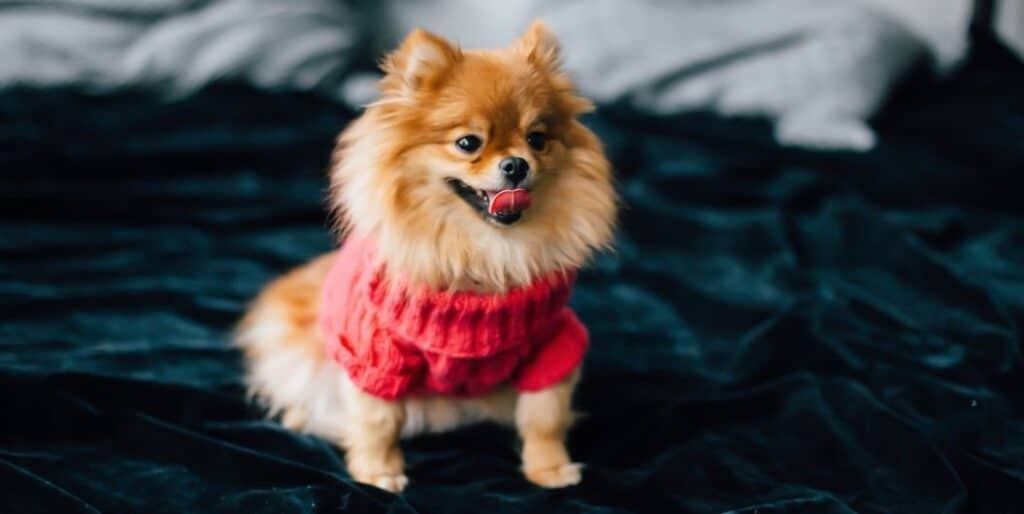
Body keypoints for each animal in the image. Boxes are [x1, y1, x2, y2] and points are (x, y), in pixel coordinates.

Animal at [234, 22, 614, 491]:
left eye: (537, 140)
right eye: (468, 143)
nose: (516, 164)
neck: (486, 254)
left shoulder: (551, 345)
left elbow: (545, 414)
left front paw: (549, 468)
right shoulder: (376, 354)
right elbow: (377, 421)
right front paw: (378, 472)